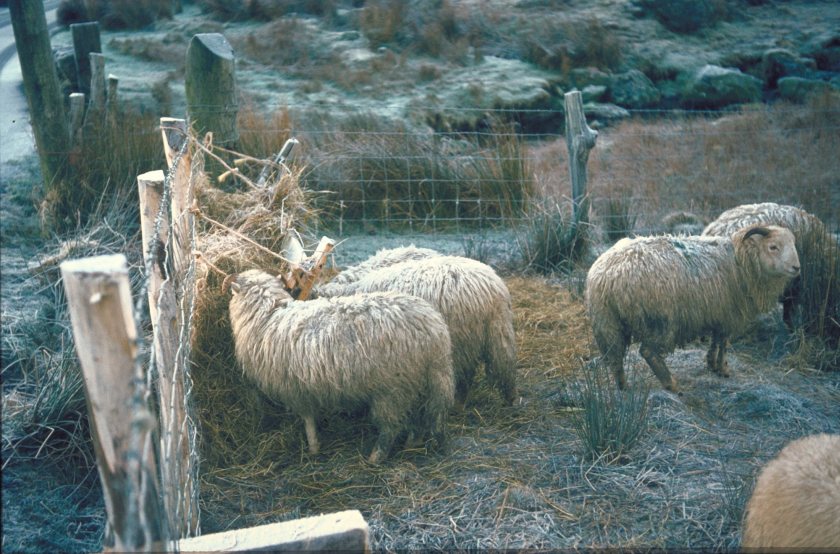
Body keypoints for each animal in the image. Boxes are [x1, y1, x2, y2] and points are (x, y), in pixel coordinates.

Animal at [226, 268, 456, 462]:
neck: (269, 314)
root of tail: (434, 330)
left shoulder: (295, 388)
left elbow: (308, 420)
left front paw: (313, 448)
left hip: (393, 389)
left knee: (391, 427)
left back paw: (376, 457)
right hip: (420, 380)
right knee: (419, 416)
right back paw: (412, 444)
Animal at [316, 253, 520, 406]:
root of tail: (493, 289)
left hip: (463, 339)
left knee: (465, 374)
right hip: (498, 331)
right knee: (505, 365)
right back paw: (509, 398)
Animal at [584, 223, 800, 388]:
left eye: (793, 244)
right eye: (773, 247)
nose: (796, 267)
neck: (740, 261)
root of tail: (607, 276)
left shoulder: (718, 313)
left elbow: (715, 341)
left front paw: (712, 364)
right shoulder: (730, 314)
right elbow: (724, 342)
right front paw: (723, 368)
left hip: (607, 322)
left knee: (615, 356)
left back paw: (623, 387)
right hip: (659, 319)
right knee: (648, 352)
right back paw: (671, 384)